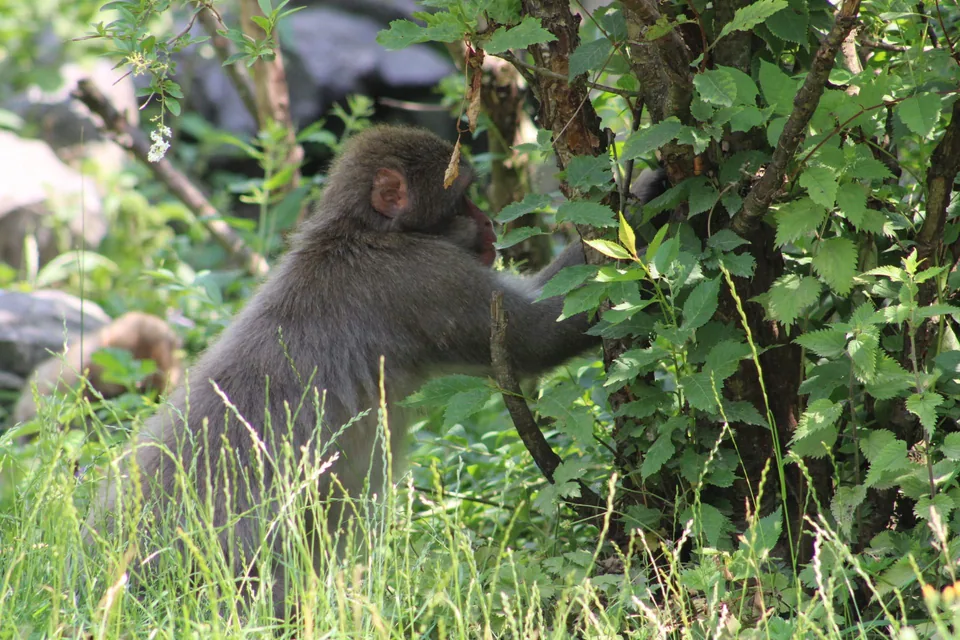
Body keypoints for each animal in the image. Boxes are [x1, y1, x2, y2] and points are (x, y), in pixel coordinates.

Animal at [84, 126, 668, 619]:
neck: (359, 231)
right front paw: (648, 198)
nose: (489, 224)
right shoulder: (425, 279)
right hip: (226, 561)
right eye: (463, 198)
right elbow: (535, 335)